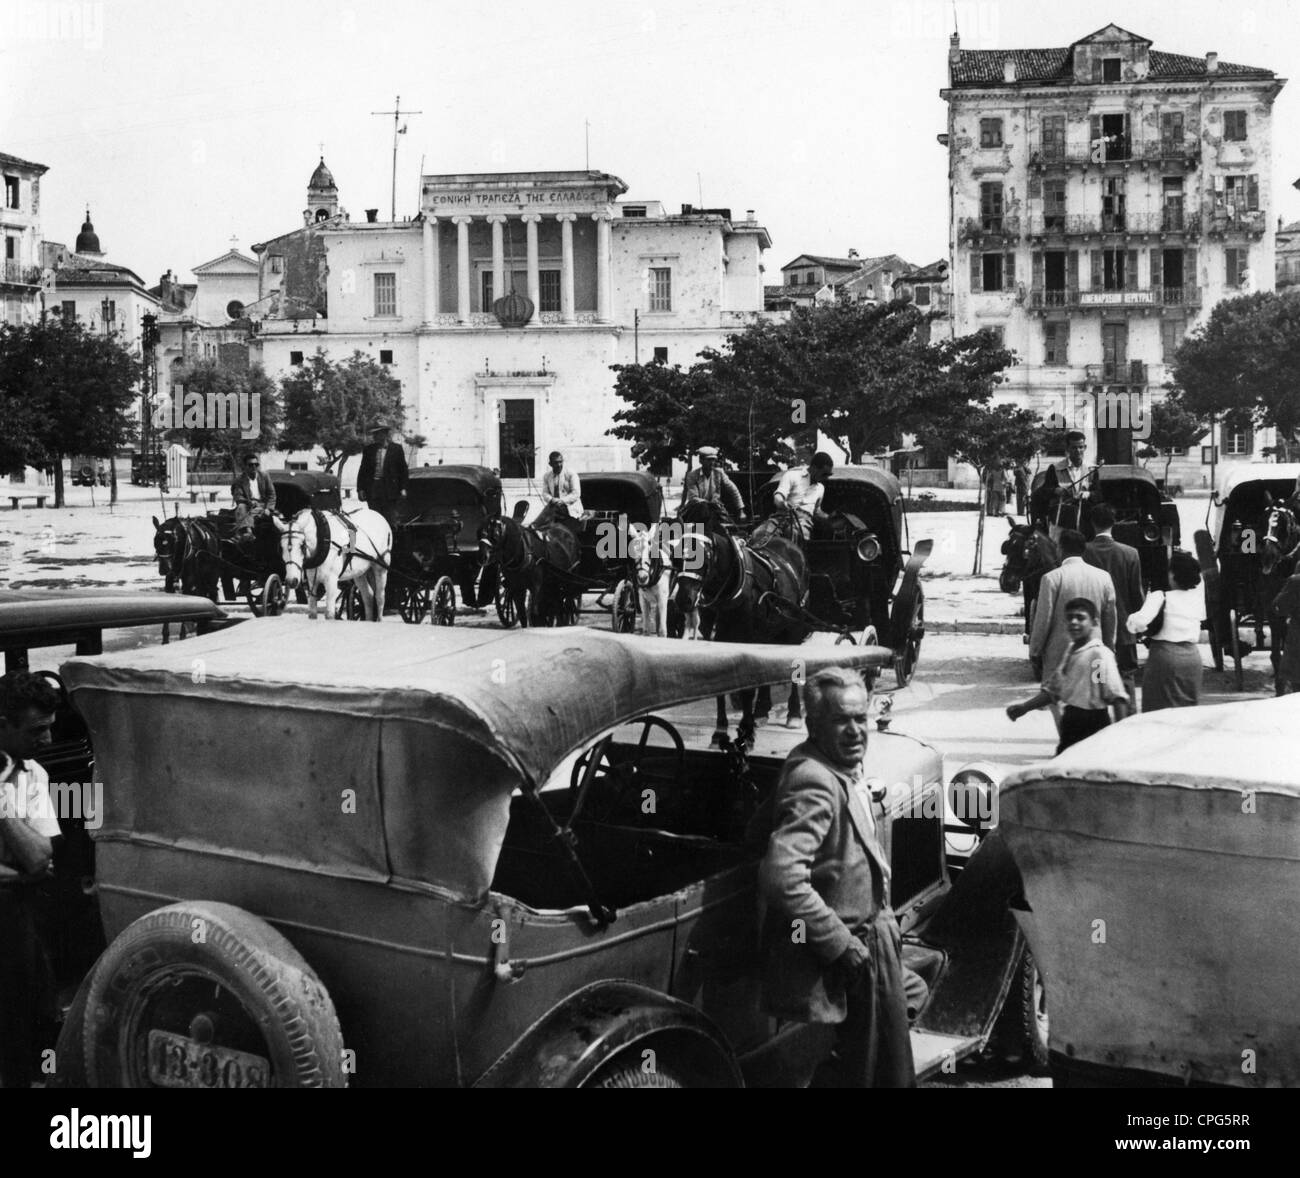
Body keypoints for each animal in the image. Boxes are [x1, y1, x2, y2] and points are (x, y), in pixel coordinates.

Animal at [676, 499, 806, 743]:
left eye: (704, 555)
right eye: (676, 551)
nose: (683, 599)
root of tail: (788, 543)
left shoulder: (748, 638)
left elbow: (748, 689)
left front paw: (746, 727)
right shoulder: (718, 639)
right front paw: (720, 730)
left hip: (792, 626)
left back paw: (793, 713)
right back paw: (763, 710)